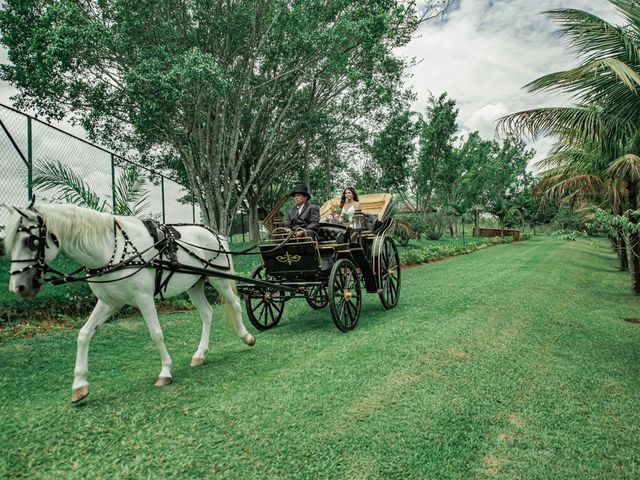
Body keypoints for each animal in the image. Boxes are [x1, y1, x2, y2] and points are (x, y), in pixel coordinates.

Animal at [5, 201, 256, 404]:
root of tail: (216, 234)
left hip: (218, 278)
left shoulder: (143, 297)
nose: (17, 287)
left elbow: (156, 333)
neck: (110, 251)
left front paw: (165, 371)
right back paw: (200, 354)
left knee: (235, 303)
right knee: (206, 313)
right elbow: (84, 334)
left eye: (31, 240)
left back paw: (246, 336)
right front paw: (79, 385)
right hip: (194, 284)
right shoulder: (109, 302)